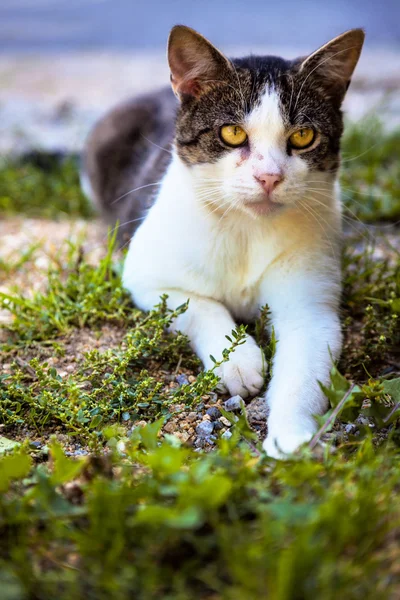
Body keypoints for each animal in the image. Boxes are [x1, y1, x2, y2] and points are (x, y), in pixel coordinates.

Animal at [83, 22, 366, 454]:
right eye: (232, 132)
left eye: (303, 136)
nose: (269, 177)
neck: (248, 229)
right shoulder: (145, 275)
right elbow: (197, 305)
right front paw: (237, 358)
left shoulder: (310, 309)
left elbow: (304, 369)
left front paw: (291, 437)